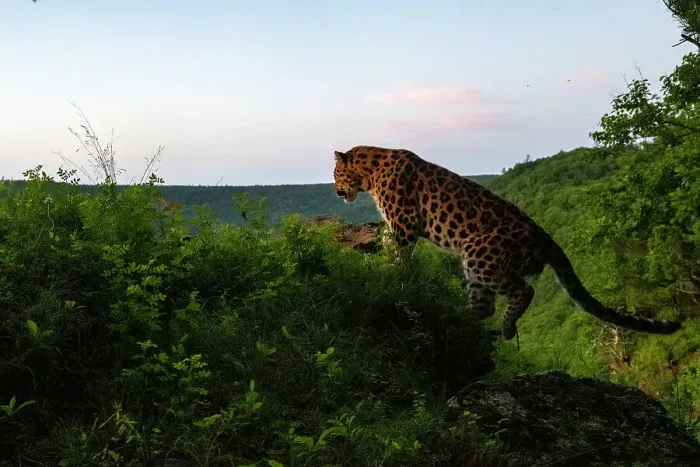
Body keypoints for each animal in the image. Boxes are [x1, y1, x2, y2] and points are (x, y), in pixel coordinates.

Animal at [332, 145, 682, 340]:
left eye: (335, 173)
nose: (335, 191)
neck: (371, 171)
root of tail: (546, 237)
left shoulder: (405, 224)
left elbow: (393, 246)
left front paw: (390, 269)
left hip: (481, 254)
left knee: (523, 291)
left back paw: (507, 327)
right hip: (475, 266)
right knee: (484, 307)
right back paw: (462, 321)